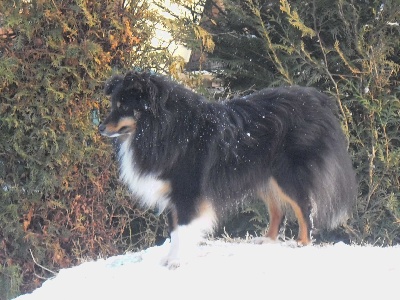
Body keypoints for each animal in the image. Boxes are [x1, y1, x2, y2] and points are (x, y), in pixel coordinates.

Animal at [99, 70, 356, 268]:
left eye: (124, 106)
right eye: (113, 104)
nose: (100, 127)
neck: (164, 126)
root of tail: (318, 100)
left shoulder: (187, 192)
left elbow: (182, 229)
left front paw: (177, 261)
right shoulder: (173, 194)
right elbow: (173, 230)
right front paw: (170, 259)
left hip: (287, 174)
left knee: (305, 208)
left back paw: (302, 243)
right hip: (264, 174)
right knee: (278, 210)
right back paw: (267, 241)